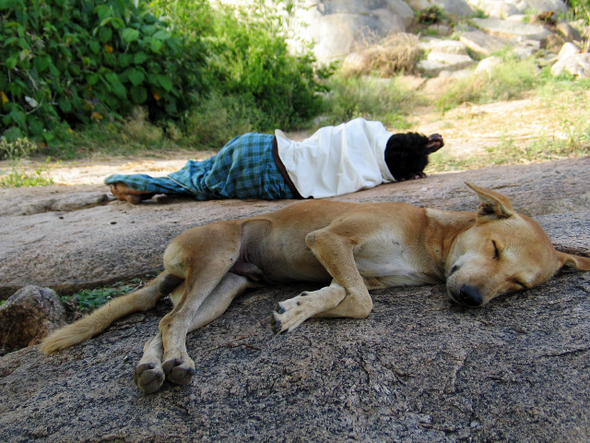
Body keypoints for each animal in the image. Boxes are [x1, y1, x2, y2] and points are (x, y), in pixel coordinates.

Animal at [41, 184, 590, 396]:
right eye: (495, 248)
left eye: (517, 286)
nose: (471, 300)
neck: (428, 240)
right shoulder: (327, 239)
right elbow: (360, 303)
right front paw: (303, 309)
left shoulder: (354, 269)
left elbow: (350, 296)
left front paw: (301, 307)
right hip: (216, 257)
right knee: (170, 319)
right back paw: (176, 361)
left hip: (222, 292)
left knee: (159, 322)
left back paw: (155, 367)